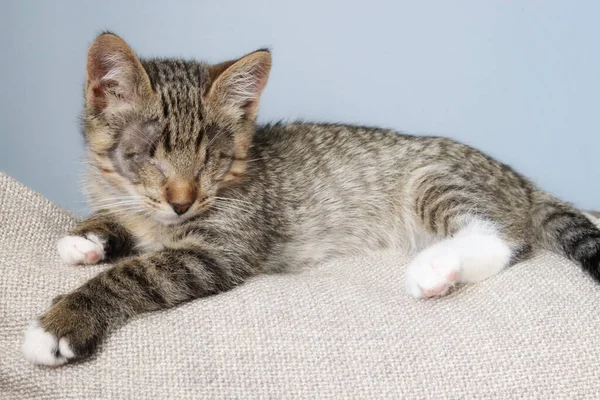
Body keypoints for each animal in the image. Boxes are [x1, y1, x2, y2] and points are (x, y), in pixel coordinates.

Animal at [21, 33, 596, 366]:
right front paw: (88, 237)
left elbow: (140, 272)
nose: (183, 202)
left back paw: (434, 268)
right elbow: (119, 223)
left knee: (503, 239)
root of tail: (519, 179)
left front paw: (63, 322)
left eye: (210, 159)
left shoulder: (220, 249)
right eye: (147, 155)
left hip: (433, 179)